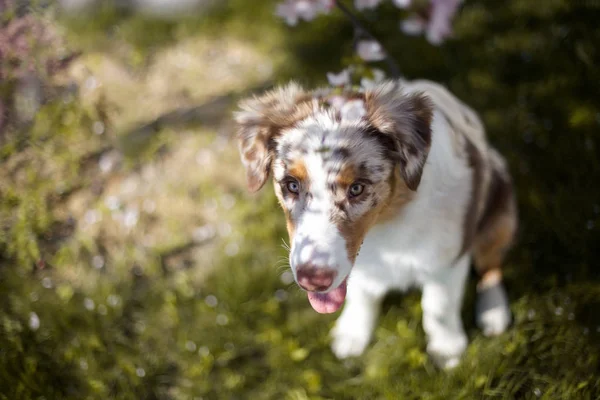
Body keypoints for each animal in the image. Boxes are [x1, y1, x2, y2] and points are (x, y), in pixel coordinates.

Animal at [233, 79, 516, 368]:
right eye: (291, 185)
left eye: (357, 188)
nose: (313, 280)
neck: (388, 220)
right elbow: (362, 294)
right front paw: (352, 334)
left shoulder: (450, 256)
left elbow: (439, 304)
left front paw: (447, 350)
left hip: (501, 213)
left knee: (491, 265)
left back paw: (493, 313)